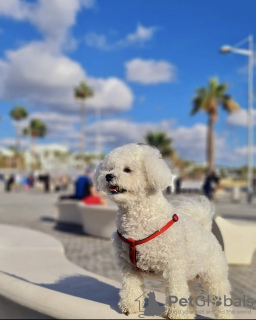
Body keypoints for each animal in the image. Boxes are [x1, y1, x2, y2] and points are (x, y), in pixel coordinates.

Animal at [93, 144, 233, 318]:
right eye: (109, 168)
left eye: (127, 170)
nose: (108, 176)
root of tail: (207, 229)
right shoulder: (129, 268)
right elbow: (131, 288)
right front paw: (130, 307)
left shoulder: (174, 268)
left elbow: (176, 292)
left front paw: (175, 314)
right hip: (190, 275)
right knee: (191, 293)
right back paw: (188, 314)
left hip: (214, 276)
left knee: (221, 298)